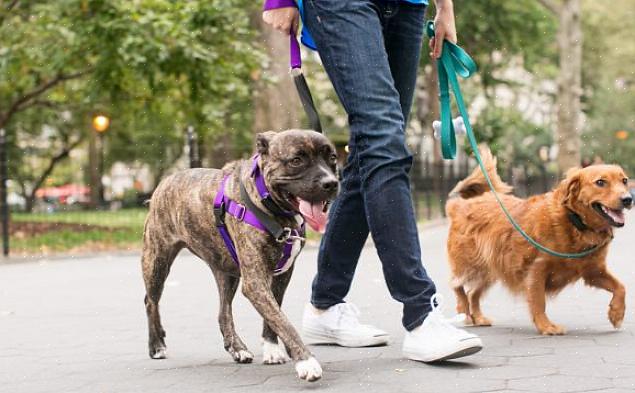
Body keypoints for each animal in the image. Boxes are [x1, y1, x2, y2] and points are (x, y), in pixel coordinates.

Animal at [139, 129, 338, 380]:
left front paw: (271, 349)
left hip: (226, 271)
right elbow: (283, 321)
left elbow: (274, 314)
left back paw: (237, 349)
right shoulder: (255, 282)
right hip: (157, 261)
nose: (331, 183)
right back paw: (156, 345)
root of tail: (163, 184)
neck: (268, 203)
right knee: (150, 301)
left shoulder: (282, 275)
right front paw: (306, 361)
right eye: (296, 160)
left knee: (223, 312)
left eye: (332, 158)